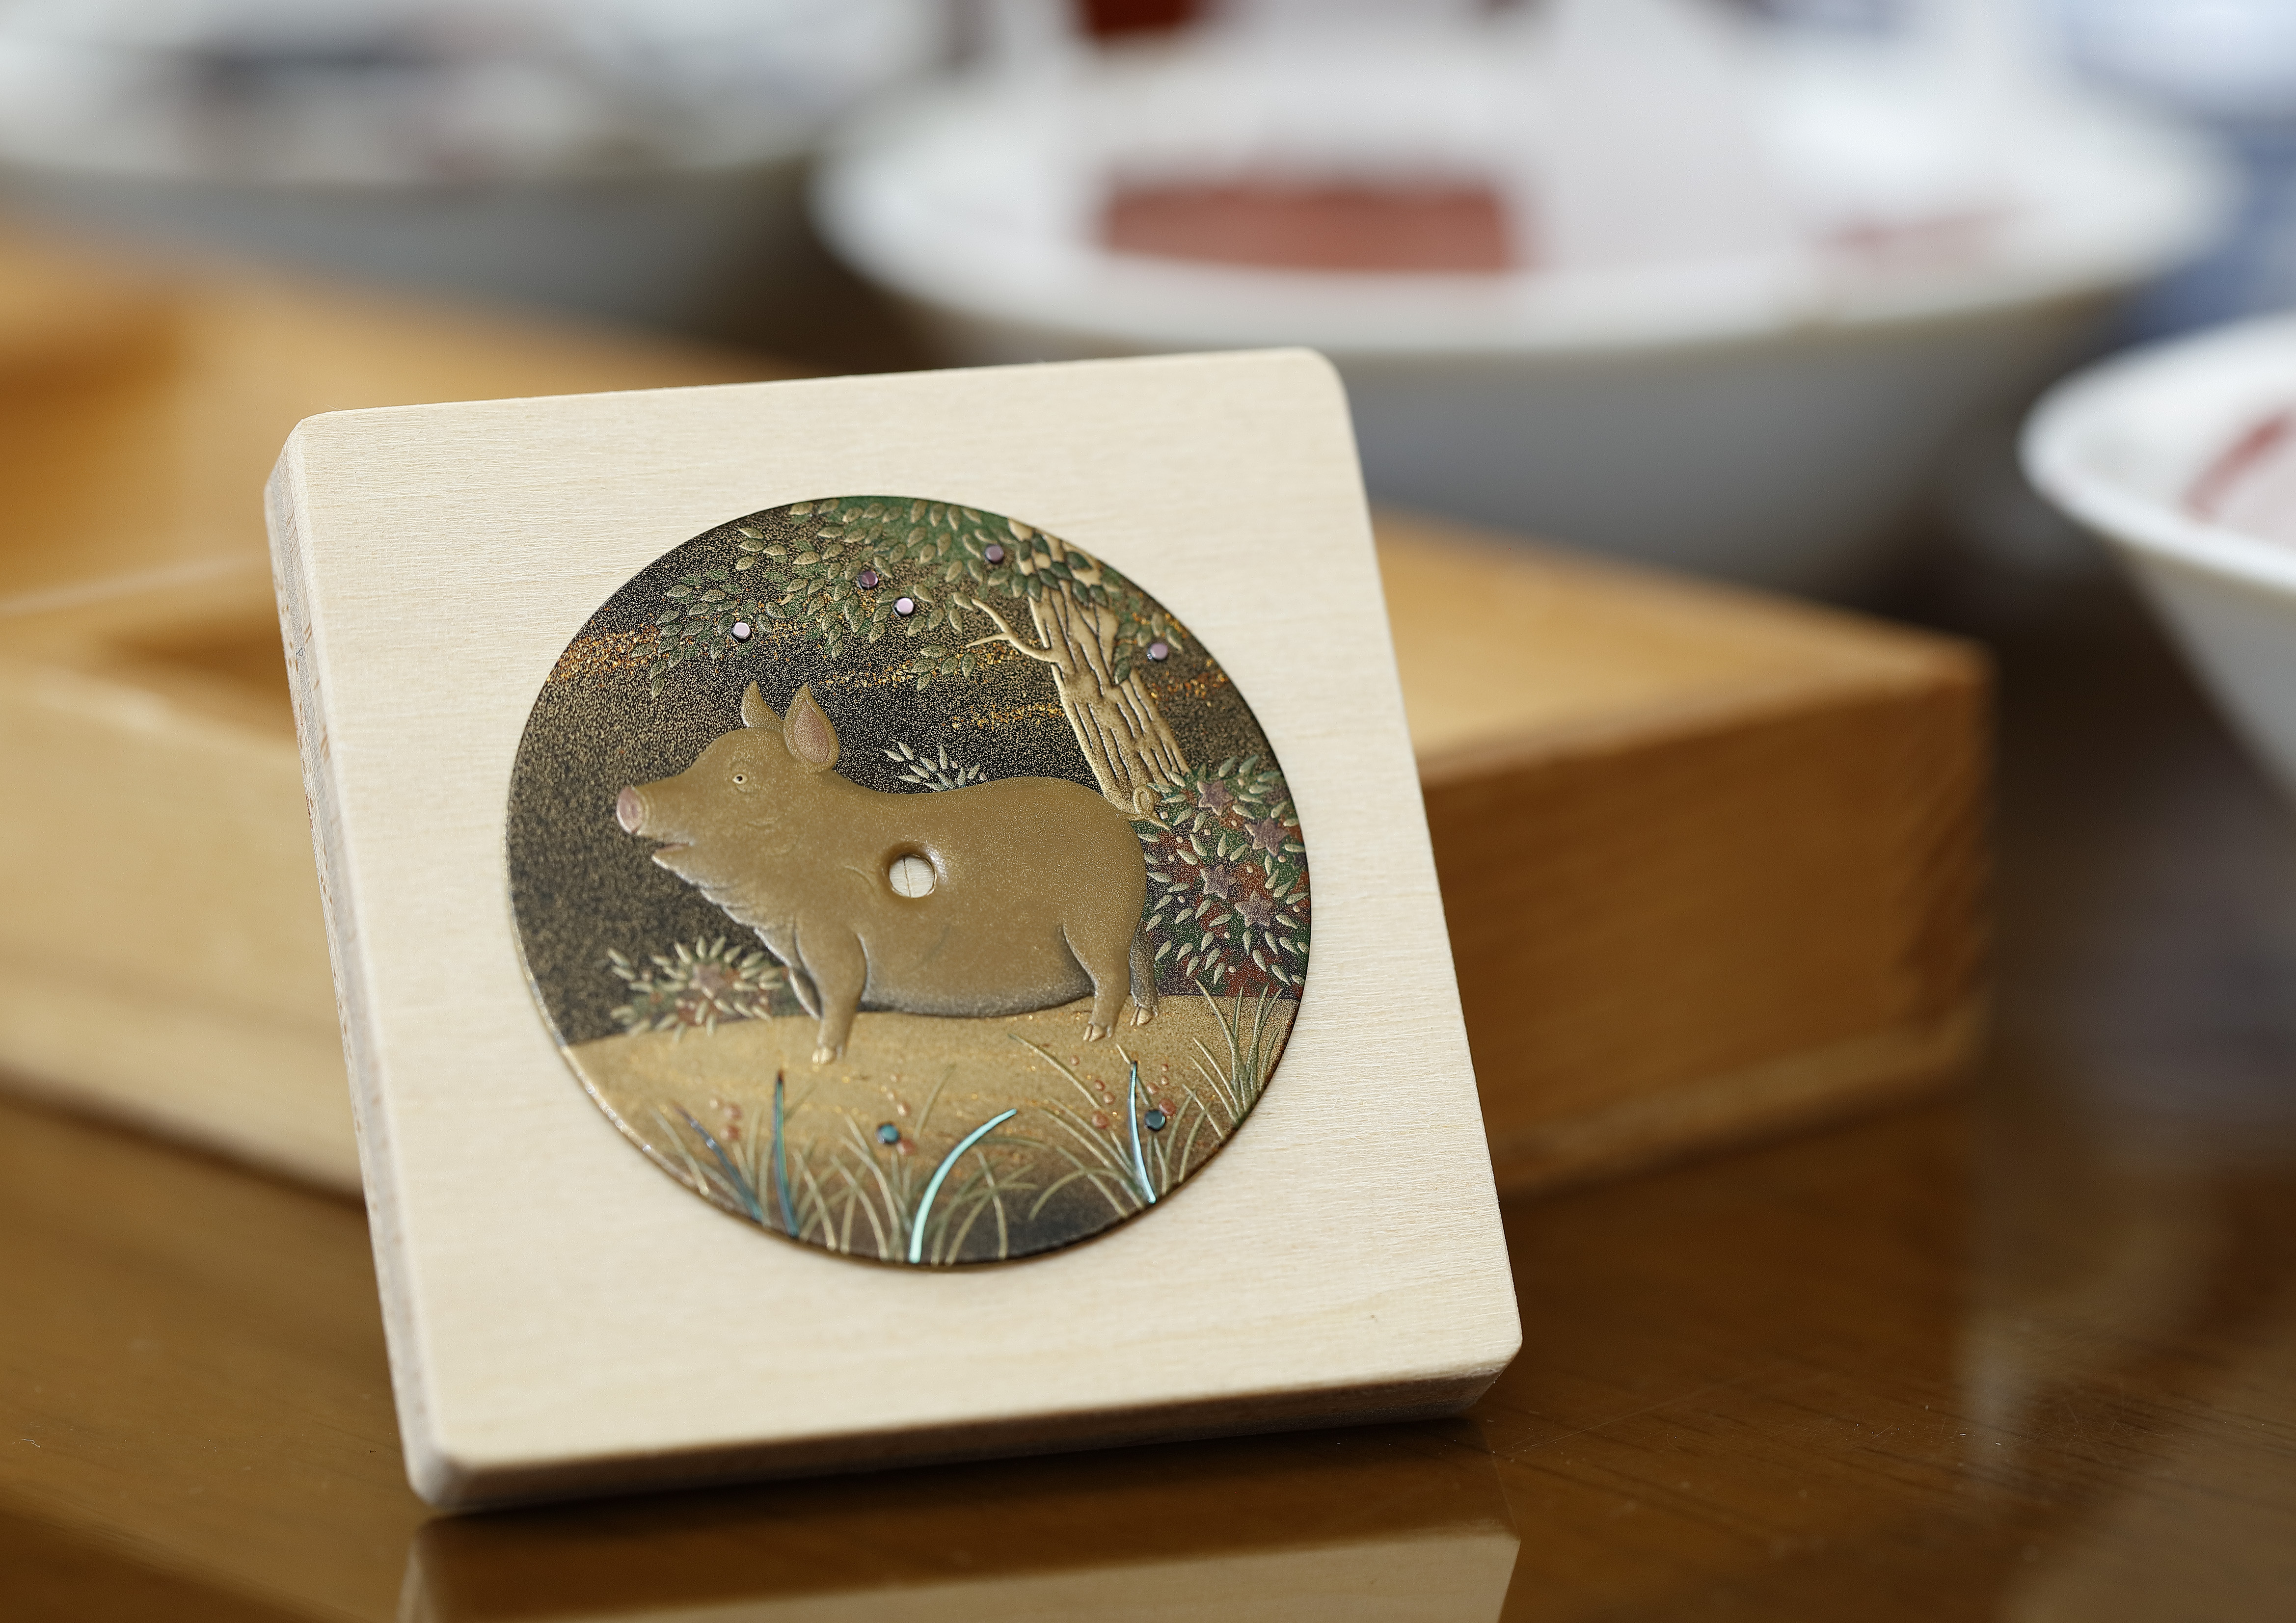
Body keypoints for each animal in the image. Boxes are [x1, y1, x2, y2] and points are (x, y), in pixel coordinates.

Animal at [616, 683, 1157, 1063]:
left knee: (1111, 975)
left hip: (1095, 919)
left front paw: (822, 1057)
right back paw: (1143, 1019)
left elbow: (839, 996)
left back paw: (1096, 1034)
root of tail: (1120, 818)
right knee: (1141, 953)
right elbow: (815, 1000)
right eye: (700, 762)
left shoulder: (833, 938)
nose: (630, 797)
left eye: (741, 778)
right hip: (1127, 913)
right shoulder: (796, 961)